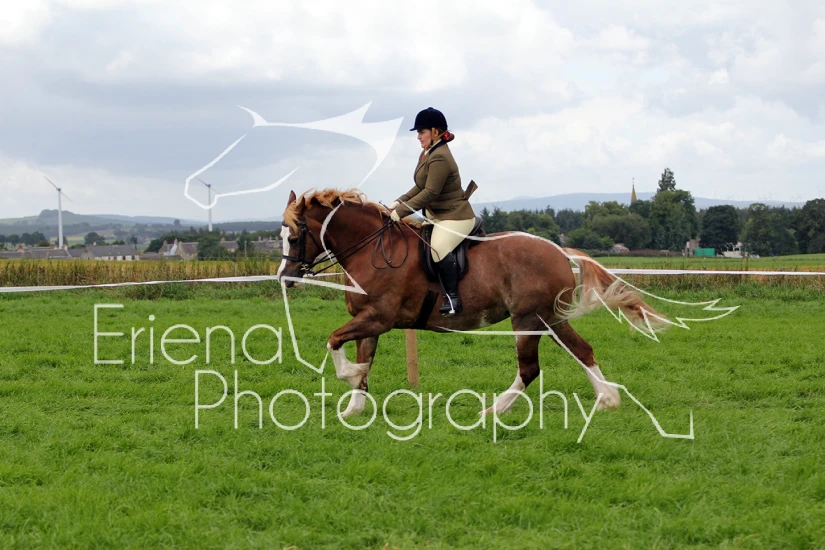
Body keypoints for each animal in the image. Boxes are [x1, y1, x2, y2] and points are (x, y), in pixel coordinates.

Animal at [277, 188, 666, 417]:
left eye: (294, 236)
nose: (285, 276)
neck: (370, 249)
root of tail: (557, 249)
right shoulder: (367, 321)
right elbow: (363, 361)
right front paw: (354, 409)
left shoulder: (379, 317)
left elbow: (334, 341)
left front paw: (348, 376)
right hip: (551, 319)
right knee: (582, 350)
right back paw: (608, 399)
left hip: (528, 320)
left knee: (530, 369)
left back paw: (493, 411)